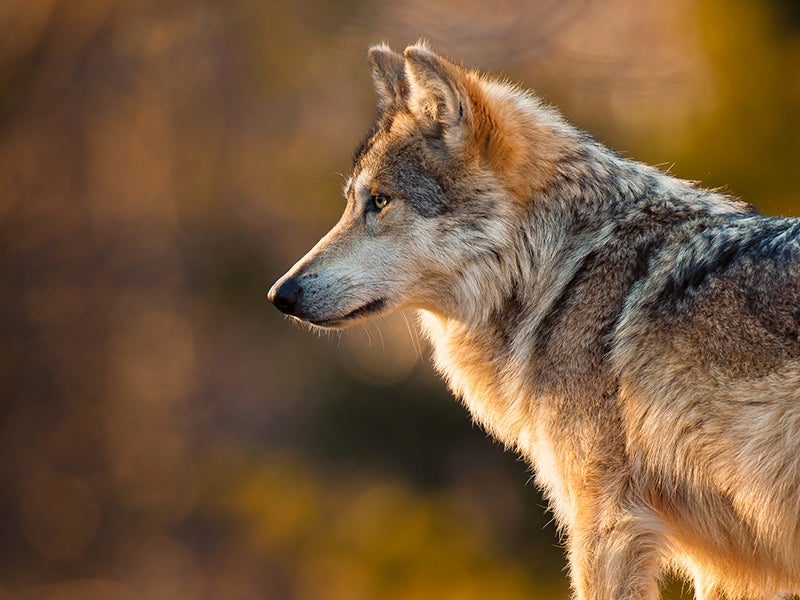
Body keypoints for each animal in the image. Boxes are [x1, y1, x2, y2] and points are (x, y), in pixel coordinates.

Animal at [268, 43, 800, 600]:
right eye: (352, 202)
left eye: (380, 201)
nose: (280, 294)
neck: (561, 268)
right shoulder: (731, 566)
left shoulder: (607, 523)